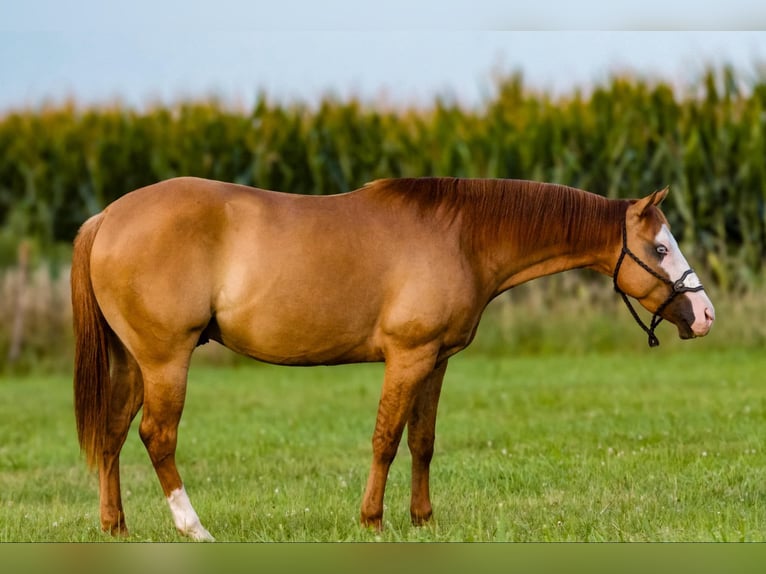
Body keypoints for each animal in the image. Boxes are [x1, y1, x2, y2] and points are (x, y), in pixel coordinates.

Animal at [70, 178, 712, 544]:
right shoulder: (407, 356)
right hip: (165, 360)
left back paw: (115, 526)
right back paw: (193, 527)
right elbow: (386, 438)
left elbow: (421, 441)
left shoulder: (437, 360)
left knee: (112, 433)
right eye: (660, 247)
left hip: (135, 362)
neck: (461, 236)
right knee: (157, 437)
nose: (704, 315)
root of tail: (106, 217)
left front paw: (424, 520)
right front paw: (372, 520)